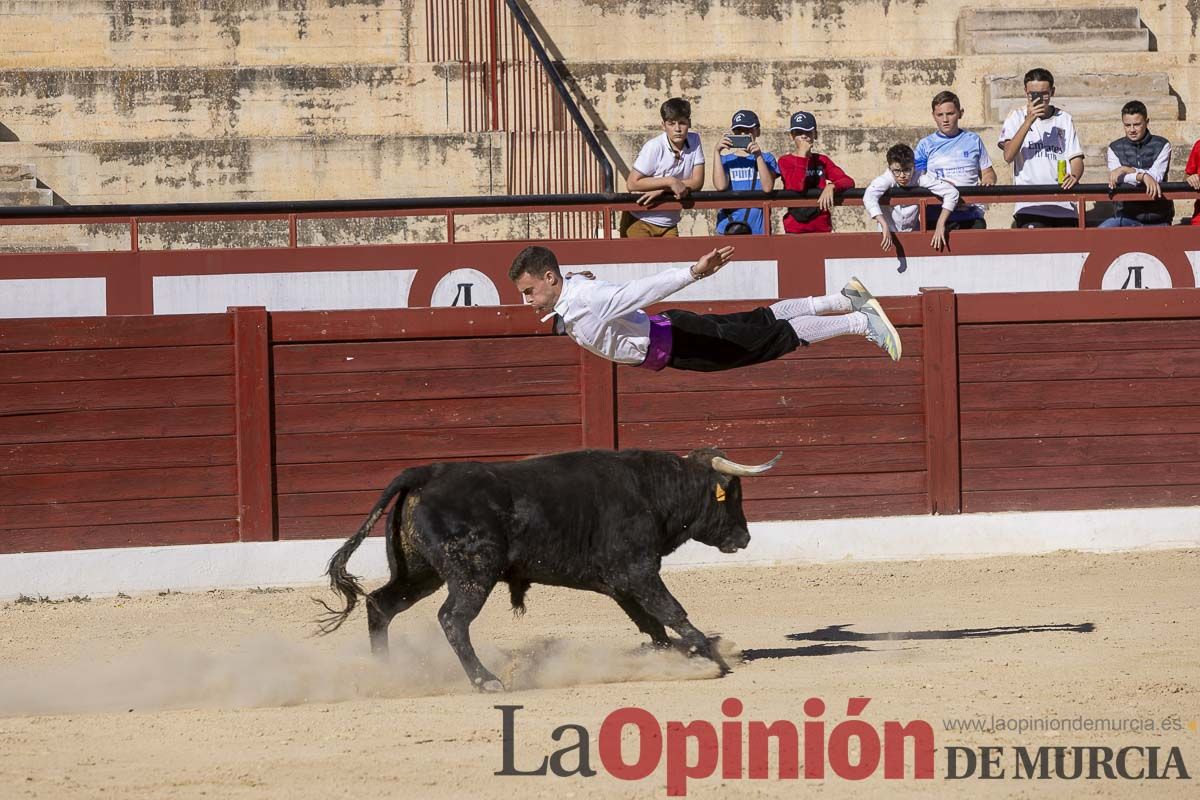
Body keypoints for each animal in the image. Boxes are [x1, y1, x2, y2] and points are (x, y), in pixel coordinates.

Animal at [316, 448, 777, 690]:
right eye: (732, 496)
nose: (744, 538)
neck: (652, 492)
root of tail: (426, 472)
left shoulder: (620, 582)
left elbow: (652, 624)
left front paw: (671, 656)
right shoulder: (638, 571)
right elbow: (672, 612)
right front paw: (708, 656)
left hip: (419, 572)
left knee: (381, 605)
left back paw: (385, 669)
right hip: (473, 573)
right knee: (452, 619)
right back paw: (486, 680)